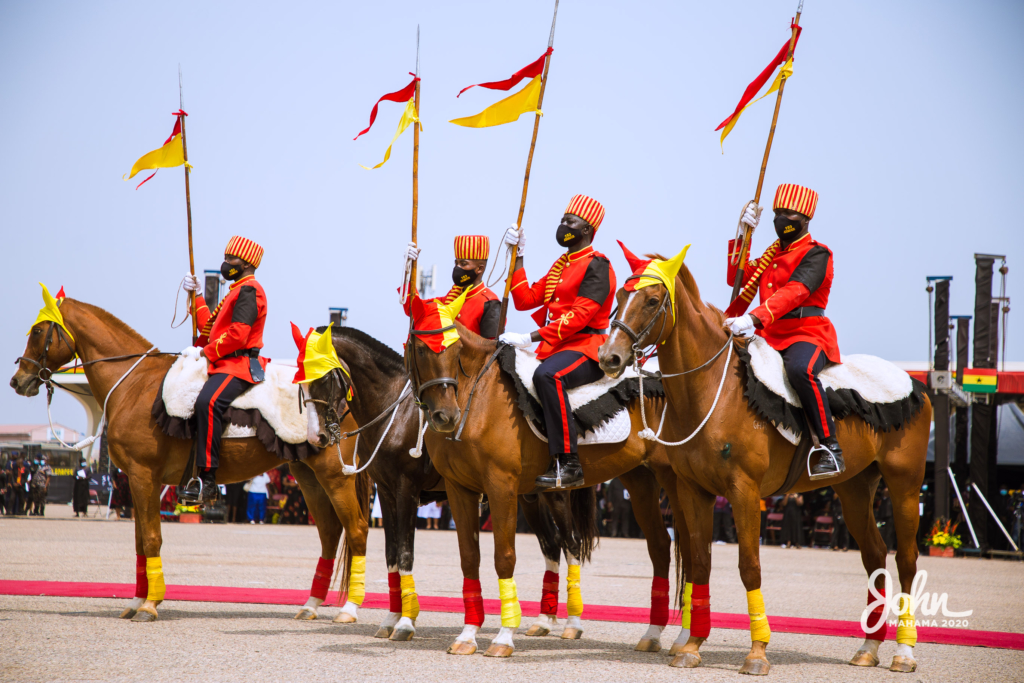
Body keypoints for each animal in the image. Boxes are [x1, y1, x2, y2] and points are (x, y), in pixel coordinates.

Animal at [9, 299, 370, 626]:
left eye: (38, 331)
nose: (18, 379)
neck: (133, 384)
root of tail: (345, 395)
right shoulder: (142, 482)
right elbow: (140, 541)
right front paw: (137, 599)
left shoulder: (143, 476)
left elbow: (151, 538)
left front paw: (150, 604)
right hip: (307, 476)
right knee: (329, 533)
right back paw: (311, 605)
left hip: (335, 476)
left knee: (357, 529)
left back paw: (349, 609)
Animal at [405, 325, 688, 655]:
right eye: (420, 349)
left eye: (455, 350)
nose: (445, 416)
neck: (477, 394)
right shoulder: (459, 489)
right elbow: (469, 558)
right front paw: (467, 635)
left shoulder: (501, 486)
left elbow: (504, 557)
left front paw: (504, 636)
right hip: (639, 480)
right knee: (659, 546)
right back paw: (653, 633)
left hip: (675, 482)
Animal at [598, 260, 933, 671]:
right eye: (619, 295)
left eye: (651, 300)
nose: (609, 357)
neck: (712, 391)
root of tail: (916, 385)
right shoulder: (694, 491)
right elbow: (700, 561)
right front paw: (691, 645)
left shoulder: (744, 491)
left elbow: (749, 566)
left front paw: (757, 651)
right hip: (854, 488)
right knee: (874, 554)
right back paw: (869, 646)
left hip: (904, 486)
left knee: (906, 559)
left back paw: (904, 651)